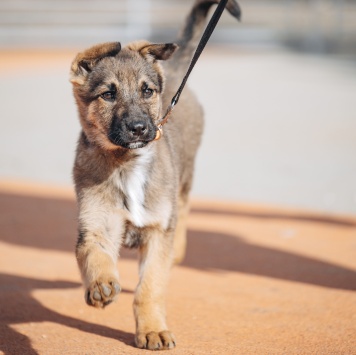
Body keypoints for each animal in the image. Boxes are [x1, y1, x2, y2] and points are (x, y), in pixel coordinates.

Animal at [70, 0, 239, 350]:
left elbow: (149, 289)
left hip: (185, 180)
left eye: (147, 91)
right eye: (108, 95)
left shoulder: (158, 233)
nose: (139, 128)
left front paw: (152, 330)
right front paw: (101, 284)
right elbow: (94, 255)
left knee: (184, 207)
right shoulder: (95, 224)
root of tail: (172, 73)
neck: (127, 162)